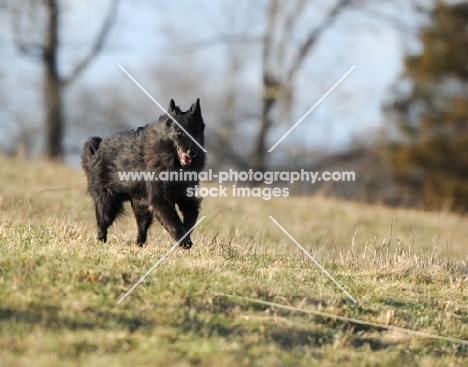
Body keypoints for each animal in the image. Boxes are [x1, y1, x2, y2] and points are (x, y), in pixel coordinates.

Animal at [81, 99, 206, 249]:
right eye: (179, 134)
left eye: (196, 133)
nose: (192, 153)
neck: (174, 163)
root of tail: (97, 148)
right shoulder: (159, 199)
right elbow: (174, 222)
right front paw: (184, 241)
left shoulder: (187, 198)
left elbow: (191, 218)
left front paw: (186, 236)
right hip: (107, 204)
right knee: (102, 225)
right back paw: (101, 242)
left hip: (141, 207)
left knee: (141, 229)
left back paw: (139, 245)